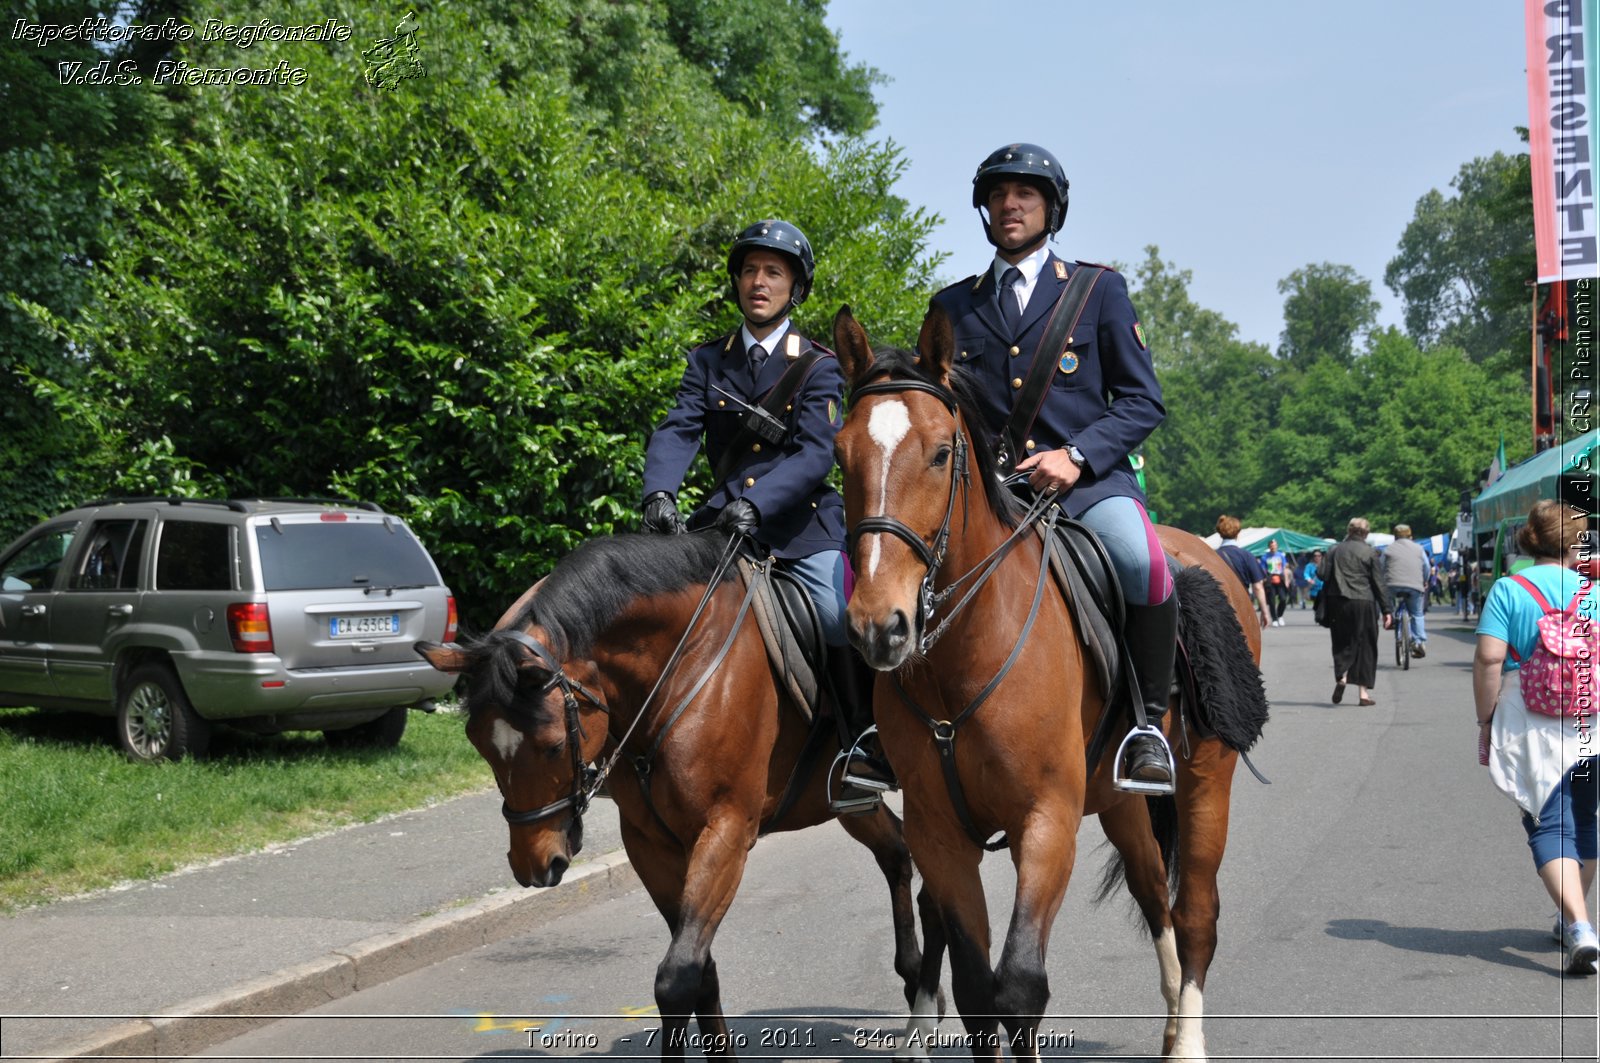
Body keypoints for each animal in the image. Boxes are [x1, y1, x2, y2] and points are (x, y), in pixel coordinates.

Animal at [419, 534, 940, 1056]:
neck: (682, 665)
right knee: (897, 852)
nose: (534, 865)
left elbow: (676, 979)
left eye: (552, 746)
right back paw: (916, 981)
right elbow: (700, 971)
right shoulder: (649, 842)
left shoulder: (726, 833)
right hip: (846, 802)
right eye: (477, 743)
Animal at [832, 307, 1267, 1063]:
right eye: (841, 454)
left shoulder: (1045, 820)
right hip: (1122, 803)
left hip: (1207, 782)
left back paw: (1188, 1042)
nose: (879, 626)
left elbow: (1020, 986)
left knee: (1196, 913)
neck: (961, 660)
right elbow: (976, 992)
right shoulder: (938, 832)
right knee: (1155, 897)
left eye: (941, 452)